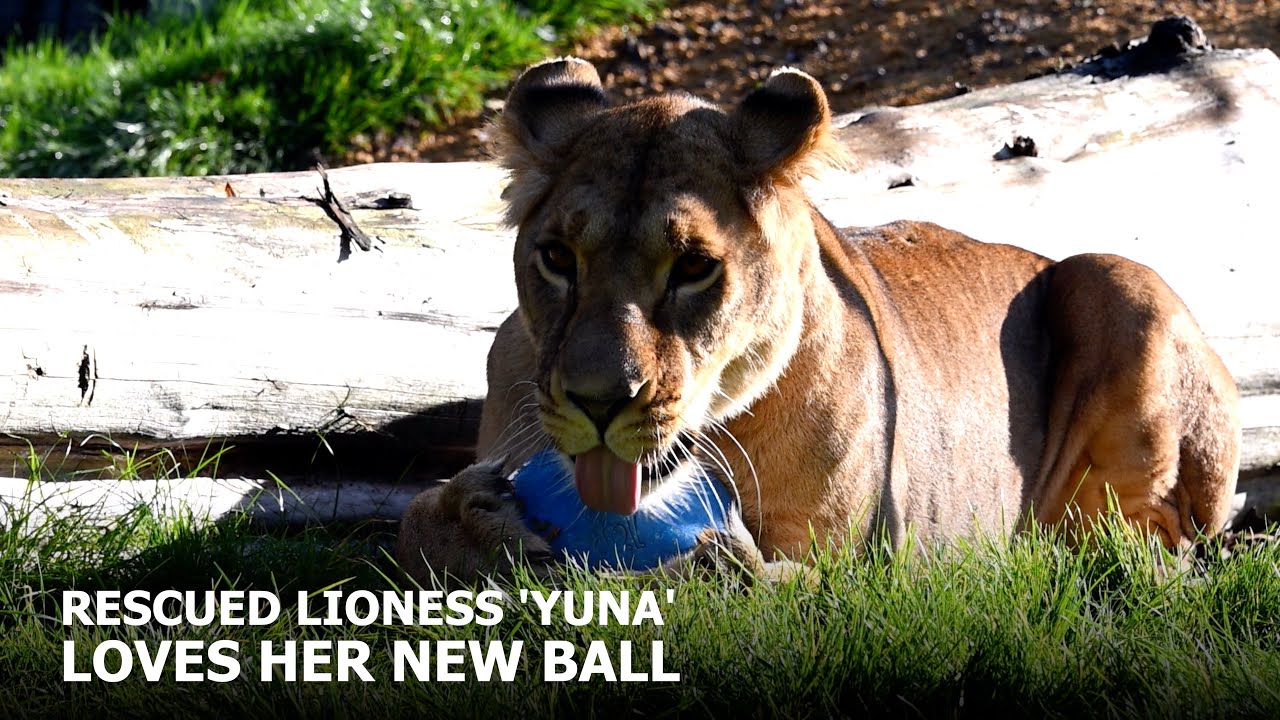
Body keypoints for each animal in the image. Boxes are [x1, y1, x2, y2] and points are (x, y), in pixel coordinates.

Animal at [395, 57, 1241, 583]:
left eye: (694, 267)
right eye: (557, 257)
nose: (600, 403)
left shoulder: (854, 566)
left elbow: (757, 590)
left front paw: (707, 565)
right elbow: (415, 523)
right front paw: (480, 519)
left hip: (1118, 279)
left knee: (1152, 550)